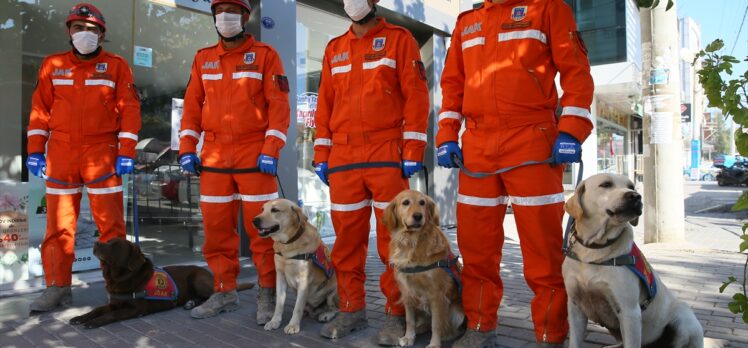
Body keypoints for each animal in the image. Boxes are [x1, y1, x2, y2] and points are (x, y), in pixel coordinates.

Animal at [71, 238, 256, 328]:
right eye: (108, 241)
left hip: (198, 280)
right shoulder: (114, 303)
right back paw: (190, 303)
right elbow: (97, 310)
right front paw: (80, 317)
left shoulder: (135, 309)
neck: (119, 278)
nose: (96, 243)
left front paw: (93, 322)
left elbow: (111, 315)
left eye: (115, 245)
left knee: (212, 295)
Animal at [256, 200, 340, 336]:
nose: (254, 220)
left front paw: (293, 325)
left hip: (333, 294)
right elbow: (279, 304)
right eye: (262, 209)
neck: (288, 245)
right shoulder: (280, 277)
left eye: (275, 210)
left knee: (337, 308)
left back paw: (326, 314)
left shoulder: (303, 281)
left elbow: (297, 307)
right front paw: (274, 321)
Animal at [382, 190, 464, 348]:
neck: (411, 243)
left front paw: (434, 344)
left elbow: (436, 324)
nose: (418, 216)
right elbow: (409, 320)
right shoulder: (406, 292)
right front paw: (409, 337)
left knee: (449, 327)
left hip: (457, 311)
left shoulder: (436, 294)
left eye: (422, 203)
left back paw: (446, 335)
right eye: (406, 203)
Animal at [564, 173, 704, 346]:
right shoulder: (575, 306)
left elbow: (631, 342)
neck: (594, 249)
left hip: (684, 319)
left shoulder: (629, 311)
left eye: (631, 186)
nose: (636, 196)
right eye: (606, 184)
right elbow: (574, 341)